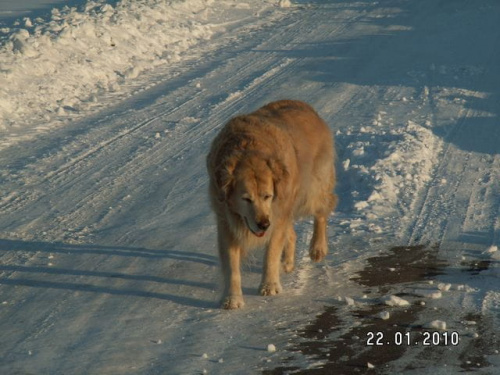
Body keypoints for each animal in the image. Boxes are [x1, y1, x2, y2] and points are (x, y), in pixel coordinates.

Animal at [205, 100, 338, 308]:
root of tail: (305, 106)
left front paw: (269, 286)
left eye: (267, 196)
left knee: (322, 210)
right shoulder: (226, 221)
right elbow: (232, 265)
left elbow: (271, 254)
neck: (247, 149)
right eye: (246, 199)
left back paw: (317, 248)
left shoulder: (276, 214)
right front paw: (232, 298)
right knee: (292, 232)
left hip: (309, 191)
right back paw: (288, 262)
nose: (263, 224)